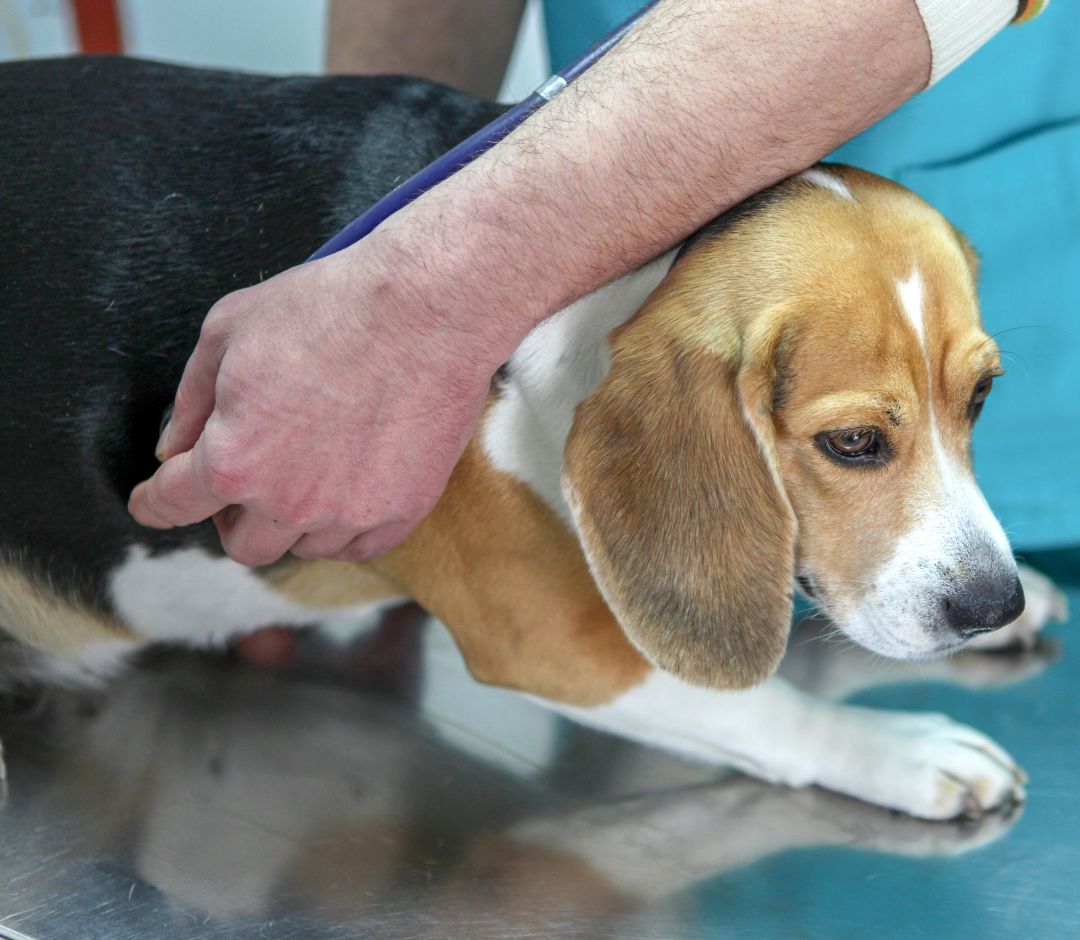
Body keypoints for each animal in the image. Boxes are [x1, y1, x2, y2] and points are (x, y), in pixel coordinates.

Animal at [0, 58, 1062, 821]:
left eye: (981, 397)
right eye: (851, 444)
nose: (991, 604)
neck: (596, 285)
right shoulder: (548, 636)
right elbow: (760, 701)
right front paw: (905, 751)